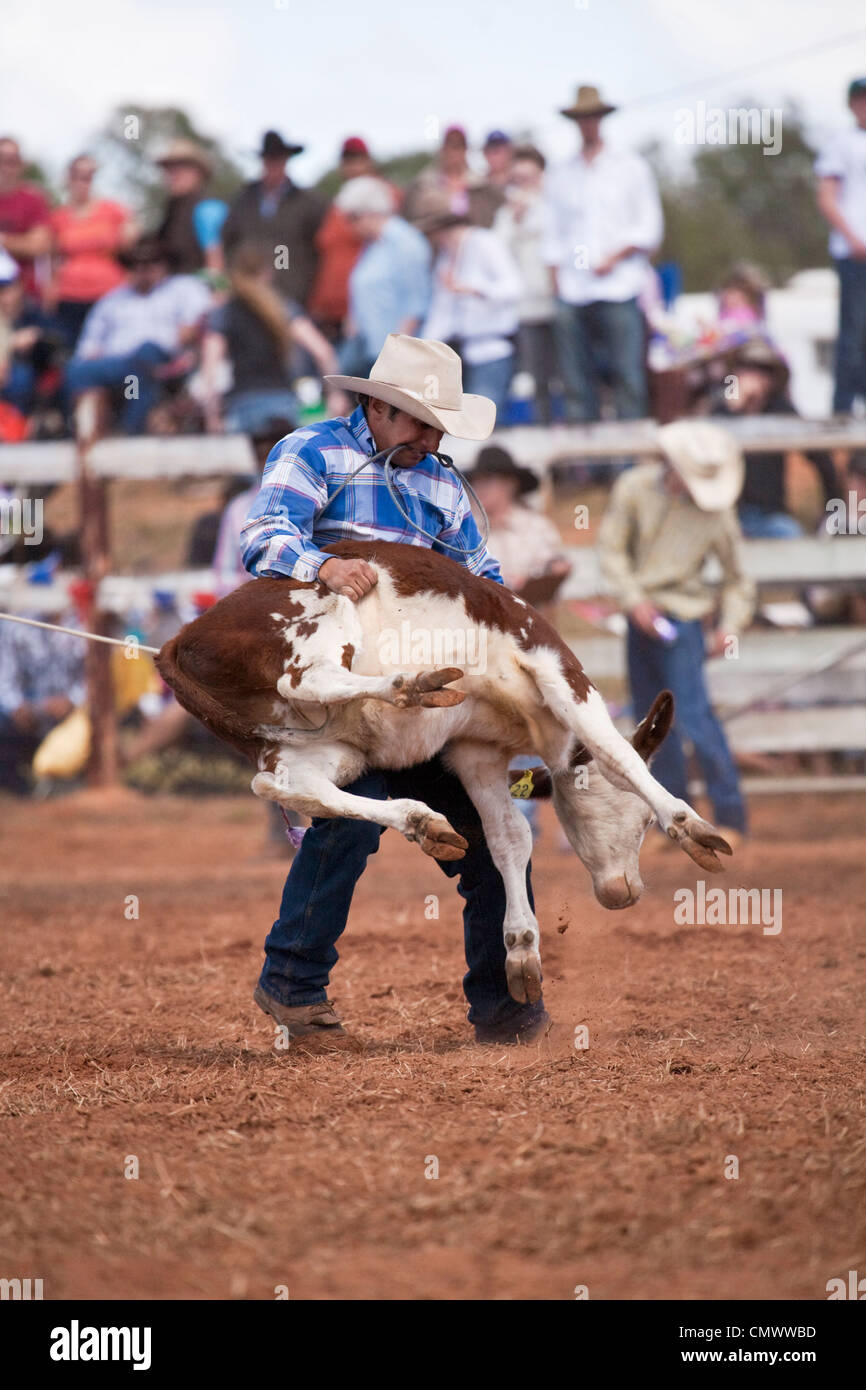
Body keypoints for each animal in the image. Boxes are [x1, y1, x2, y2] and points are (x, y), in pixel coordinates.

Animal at [157, 536, 733, 1006]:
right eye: (641, 822)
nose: (622, 892)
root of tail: (180, 638)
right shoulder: (558, 673)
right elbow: (617, 755)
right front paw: (692, 829)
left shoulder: (477, 752)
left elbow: (509, 839)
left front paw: (522, 950)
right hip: (323, 617)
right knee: (305, 681)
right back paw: (414, 685)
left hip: (319, 746)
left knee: (286, 783)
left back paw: (423, 821)